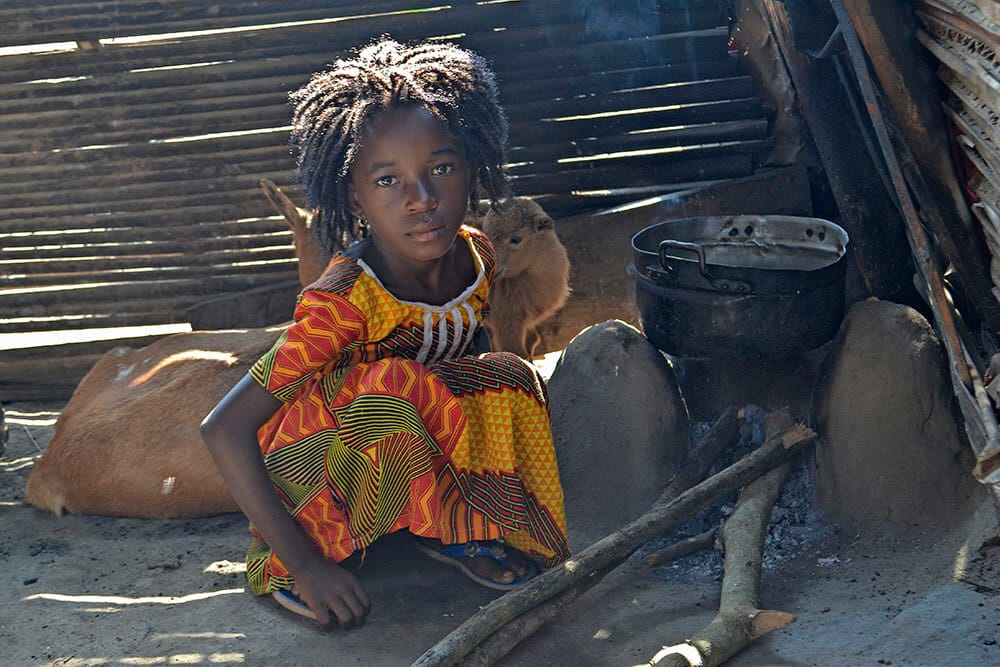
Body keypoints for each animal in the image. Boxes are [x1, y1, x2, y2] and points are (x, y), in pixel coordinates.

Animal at [482, 197, 572, 360]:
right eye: (485, 234)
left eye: (516, 239)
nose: (488, 265)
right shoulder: (505, 322)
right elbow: (516, 353)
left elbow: (532, 343)